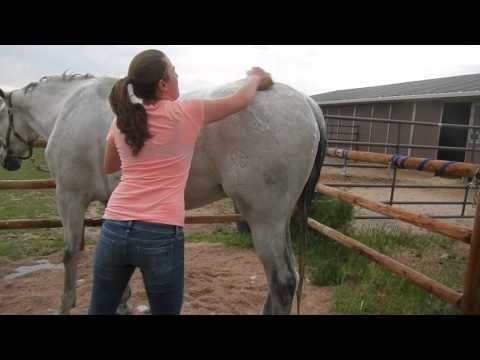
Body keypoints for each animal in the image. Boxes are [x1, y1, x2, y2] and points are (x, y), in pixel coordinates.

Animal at [0, 74, 326, 316]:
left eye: (2, 115)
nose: (8, 161)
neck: (68, 108)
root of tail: (308, 103)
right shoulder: (112, 201)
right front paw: (123, 303)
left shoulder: (69, 197)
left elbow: (70, 254)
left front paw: (65, 305)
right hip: (279, 219)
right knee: (286, 278)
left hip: (263, 218)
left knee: (282, 281)